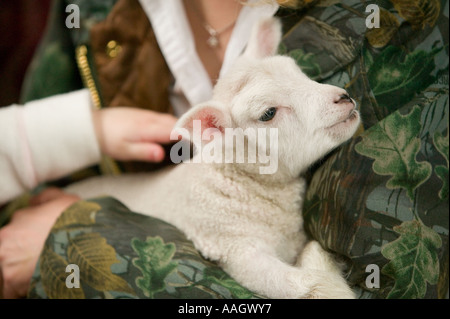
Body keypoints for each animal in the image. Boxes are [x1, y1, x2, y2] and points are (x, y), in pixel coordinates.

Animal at [67, 18, 360, 300]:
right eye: (268, 113)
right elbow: (307, 283)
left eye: (298, 73)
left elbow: (312, 254)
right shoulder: (234, 248)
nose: (344, 98)